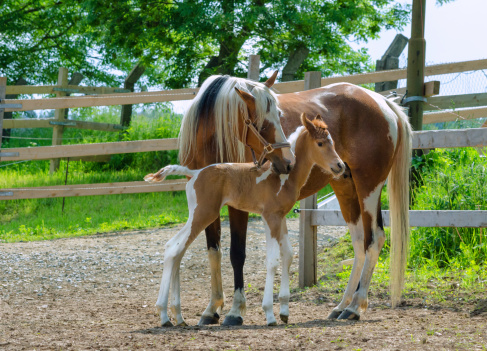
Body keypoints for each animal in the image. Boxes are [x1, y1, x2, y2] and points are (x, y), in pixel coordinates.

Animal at [145, 113, 346, 328]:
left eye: (333, 142)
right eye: (320, 143)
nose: (340, 166)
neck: (283, 177)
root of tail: (195, 173)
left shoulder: (280, 217)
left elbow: (288, 255)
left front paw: (284, 311)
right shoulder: (270, 217)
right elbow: (273, 260)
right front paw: (270, 314)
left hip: (197, 215)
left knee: (174, 249)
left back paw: (177, 316)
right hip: (203, 214)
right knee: (174, 249)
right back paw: (164, 315)